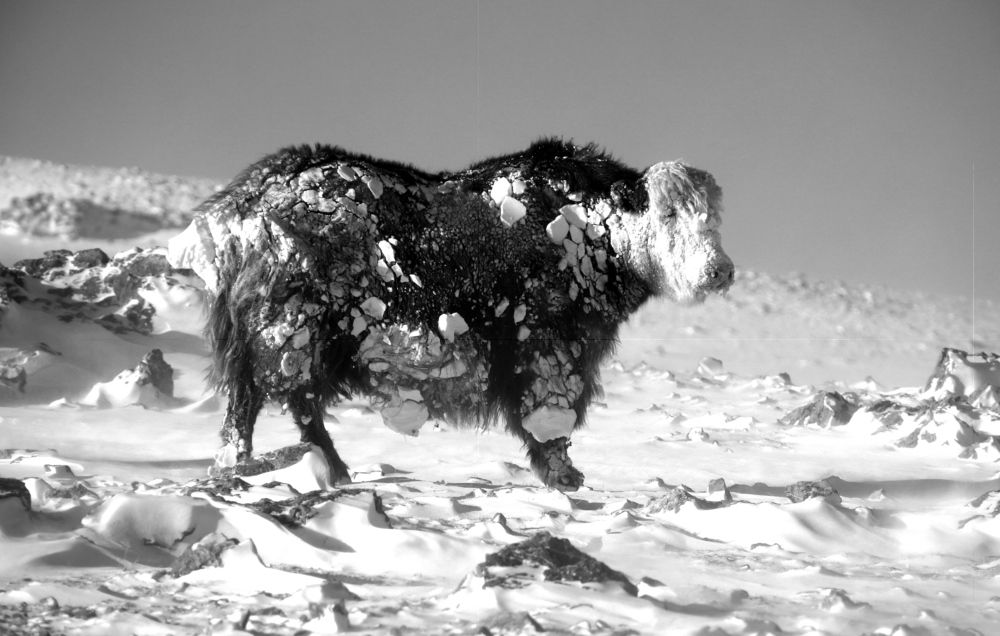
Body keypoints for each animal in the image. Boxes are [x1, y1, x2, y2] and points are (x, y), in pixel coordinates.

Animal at [177, 138, 733, 491]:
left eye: (713, 216)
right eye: (668, 214)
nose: (720, 272)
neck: (593, 228)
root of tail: (243, 201)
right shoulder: (549, 348)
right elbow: (548, 417)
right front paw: (565, 476)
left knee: (276, 401)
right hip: (294, 329)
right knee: (272, 399)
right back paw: (308, 468)